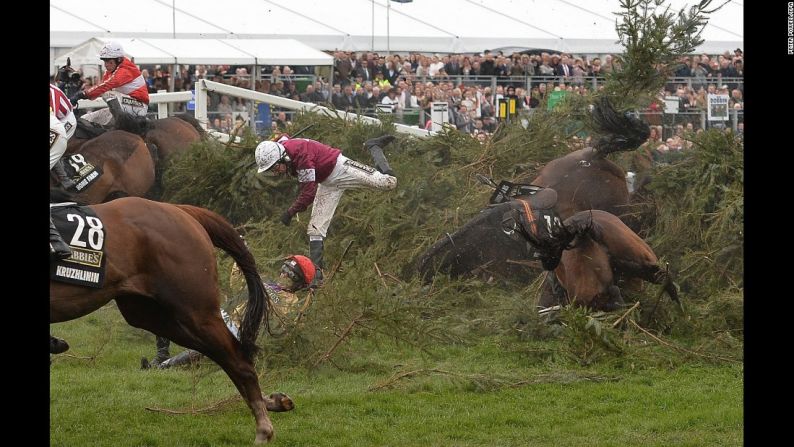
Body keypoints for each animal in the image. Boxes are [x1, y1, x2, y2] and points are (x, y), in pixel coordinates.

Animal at [51, 196, 294, 444]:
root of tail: (181, 210)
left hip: (195, 311)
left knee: (236, 358)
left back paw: (264, 429)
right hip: (153, 314)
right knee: (220, 353)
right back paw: (272, 402)